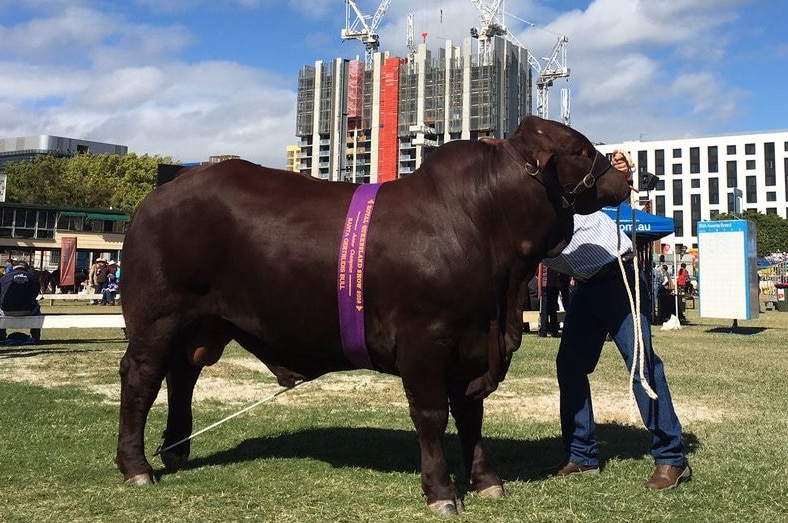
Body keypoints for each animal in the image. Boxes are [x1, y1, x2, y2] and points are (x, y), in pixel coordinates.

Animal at [114, 115, 632, 516]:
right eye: (580, 149)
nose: (627, 176)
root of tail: (157, 196)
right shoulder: (426, 341)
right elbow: (431, 416)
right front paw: (442, 492)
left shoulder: (472, 348)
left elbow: (472, 415)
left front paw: (488, 481)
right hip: (156, 319)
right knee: (141, 378)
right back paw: (137, 468)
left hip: (202, 324)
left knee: (182, 374)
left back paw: (176, 451)